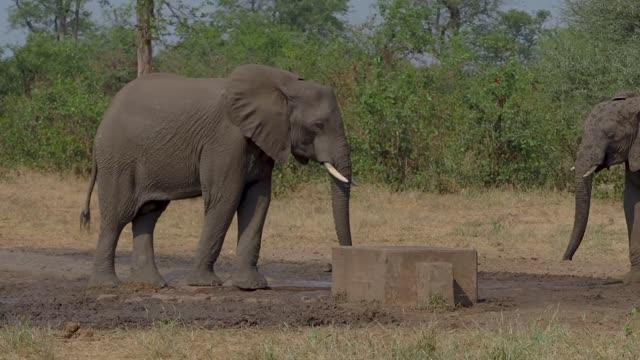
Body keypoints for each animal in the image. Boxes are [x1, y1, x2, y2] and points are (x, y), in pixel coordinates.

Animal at [80, 64, 356, 290]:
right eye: (318, 125)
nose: (331, 267)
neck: (284, 84)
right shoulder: (225, 140)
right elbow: (225, 199)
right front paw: (205, 284)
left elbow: (258, 201)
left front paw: (251, 287)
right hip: (118, 158)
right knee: (118, 216)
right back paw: (107, 285)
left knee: (148, 214)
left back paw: (151, 284)